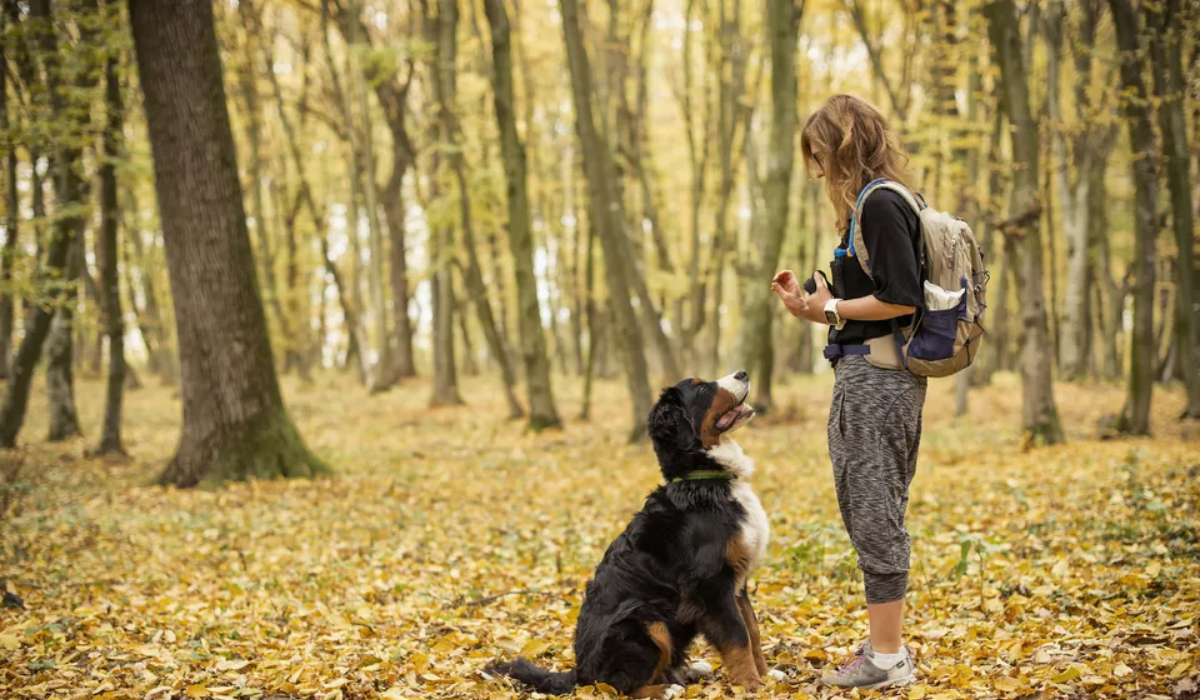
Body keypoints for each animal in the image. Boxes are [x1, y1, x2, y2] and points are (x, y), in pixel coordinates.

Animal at [487, 372, 768, 696]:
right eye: (700, 387)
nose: (743, 373)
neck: (704, 481)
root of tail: (580, 672)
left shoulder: (737, 581)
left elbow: (753, 630)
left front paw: (768, 677)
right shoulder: (712, 583)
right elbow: (738, 636)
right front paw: (751, 685)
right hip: (643, 619)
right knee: (618, 686)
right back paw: (665, 689)